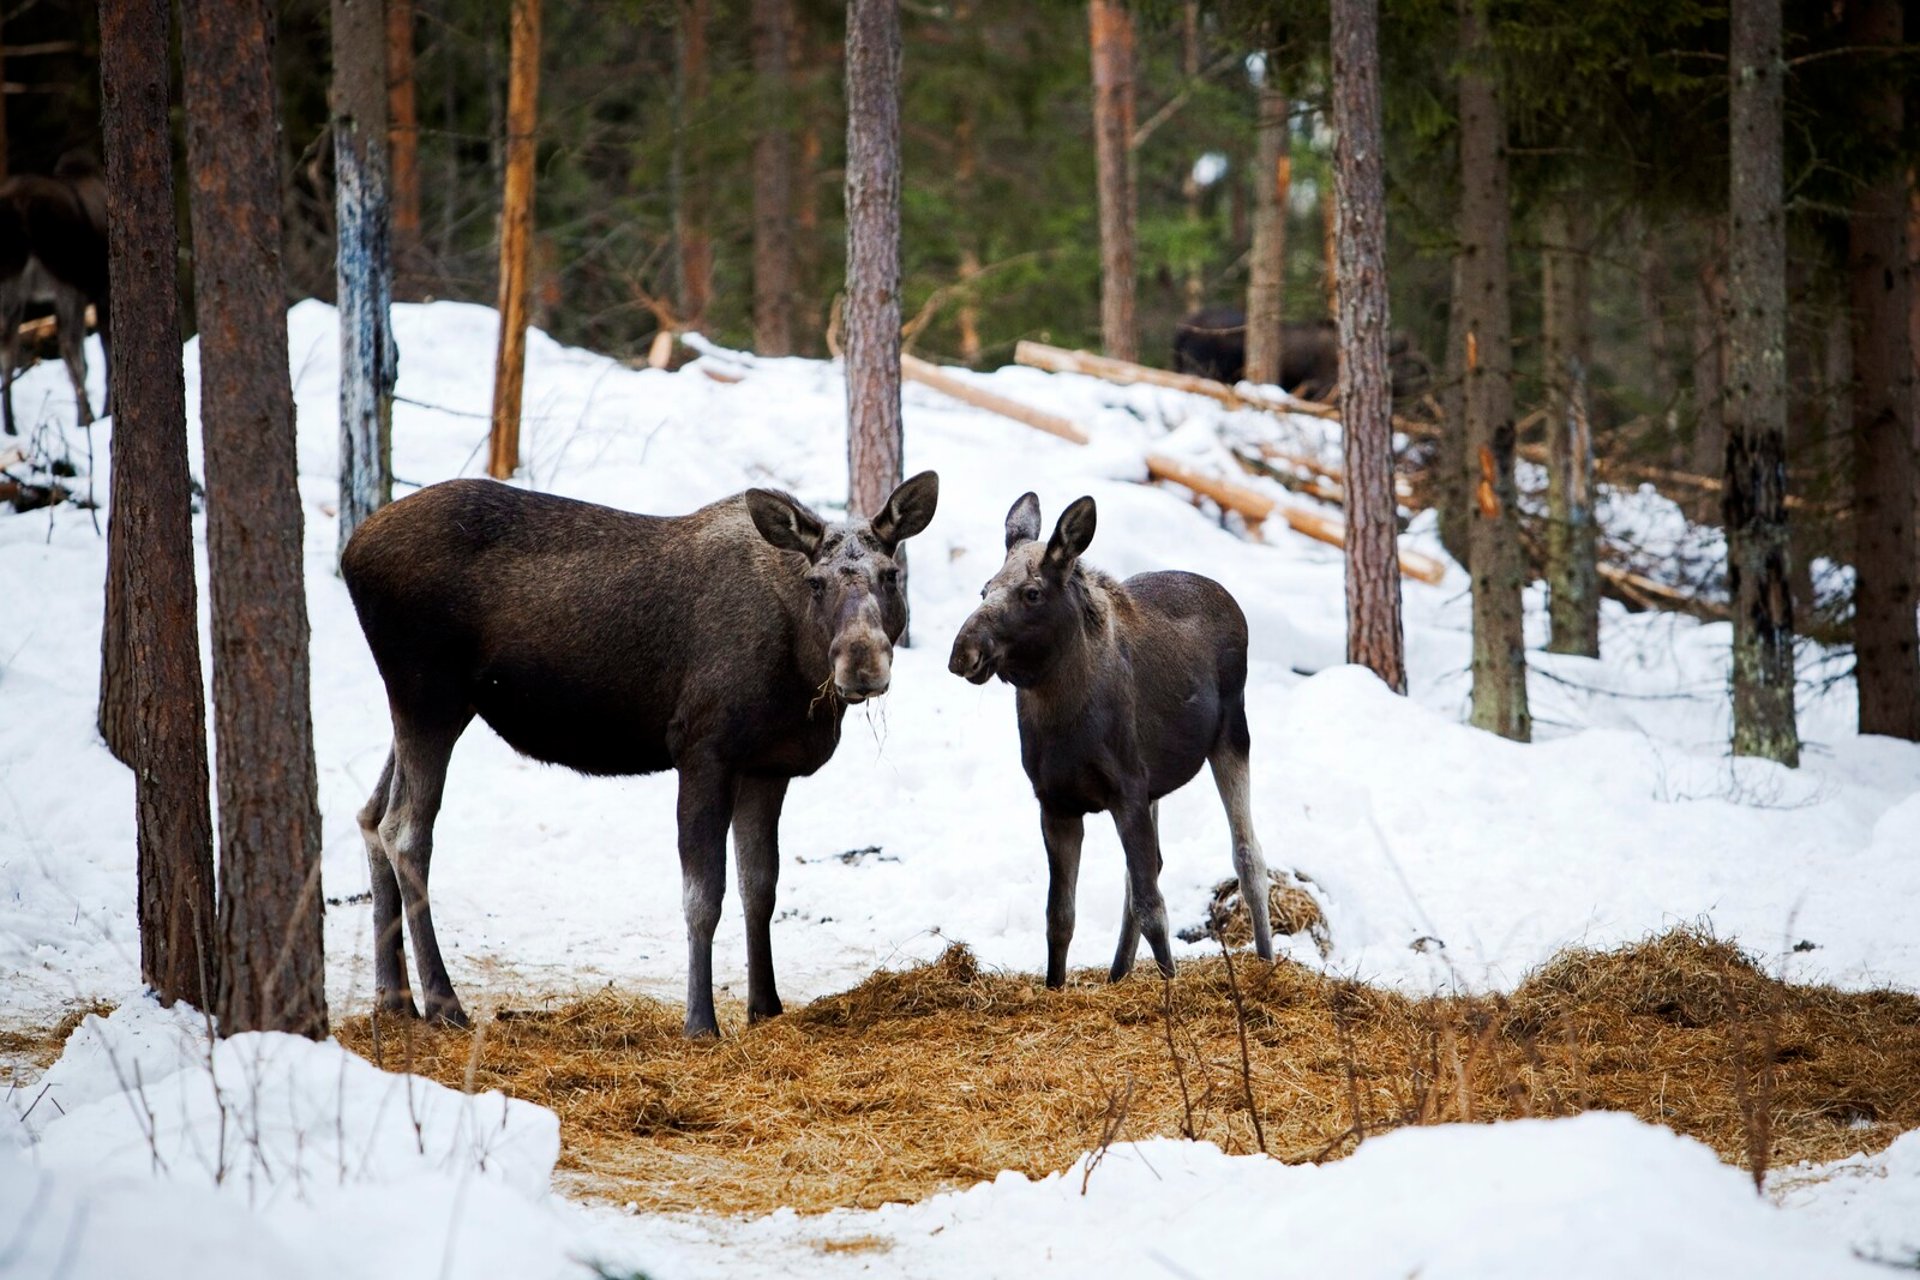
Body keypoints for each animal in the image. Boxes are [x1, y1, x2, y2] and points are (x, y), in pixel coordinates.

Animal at [349, 475, 948, 1036]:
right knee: (406, 829)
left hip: (436, 707)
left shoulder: (765, 766)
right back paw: (443, 1004)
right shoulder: (704, 750)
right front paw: (701, 1023)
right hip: (428, 695)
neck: (802, 673)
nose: (862, 663)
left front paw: (766, 1008)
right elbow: (703, 897)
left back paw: (394, 999)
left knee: (371, 815)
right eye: (816, 582)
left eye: (890, 575)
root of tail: (351, 551)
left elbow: (760, 888)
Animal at [948, 495, 1274, 990]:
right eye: (984, 590)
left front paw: (1169, 987)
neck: (1062, 719)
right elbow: (1060, 914)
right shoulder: (1056, 803)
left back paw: (1267, 962)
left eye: (1032, 593)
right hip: (1156, 784)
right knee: (1150, 868)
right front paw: (1055, 987)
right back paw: (1118, 973)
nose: (962, 652)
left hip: (1231, 736)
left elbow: (1153, 907)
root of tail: (1225, 595)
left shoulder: (1126, 791)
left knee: (1247, 853)